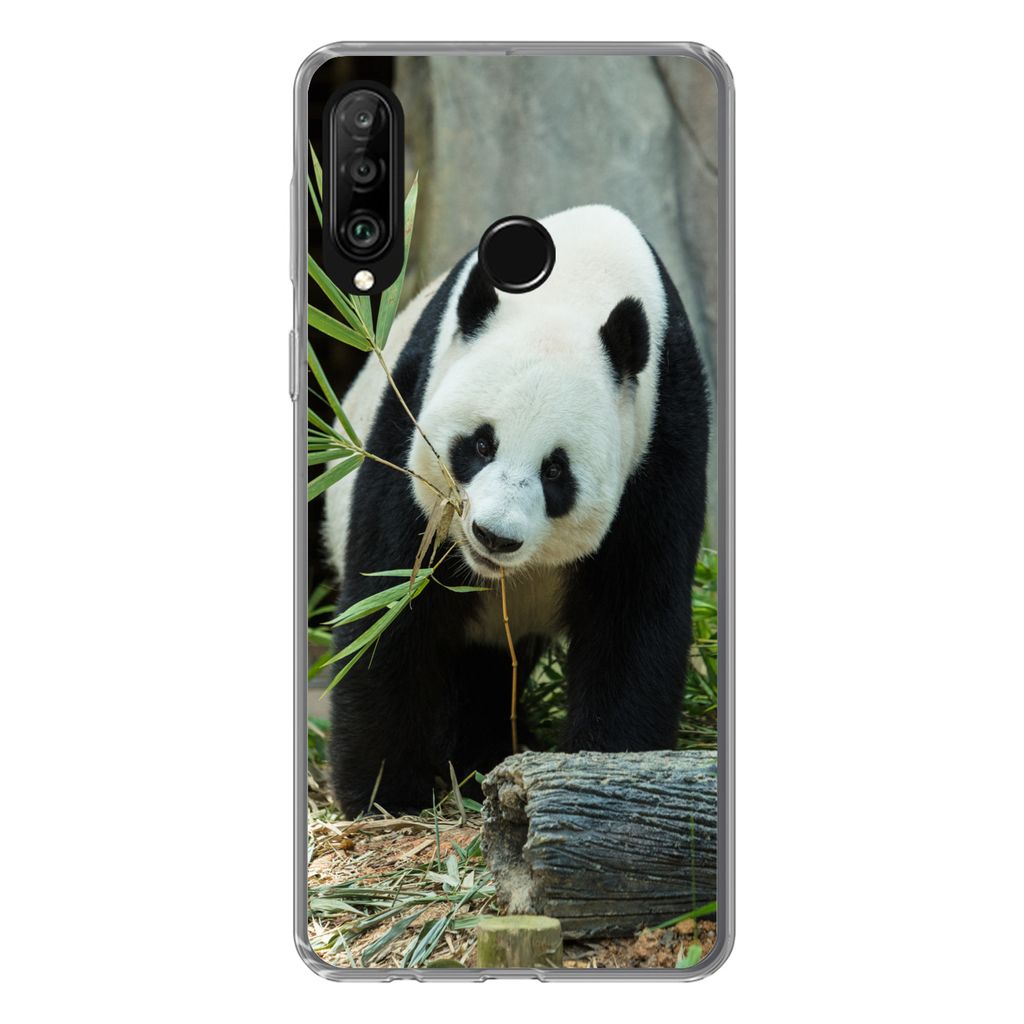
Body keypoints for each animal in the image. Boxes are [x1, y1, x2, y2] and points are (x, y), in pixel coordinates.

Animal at [322, 205, 709, 818]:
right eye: (481, 444)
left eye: (556, 471)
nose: (493, 536)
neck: (570, 285)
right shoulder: (412, 410)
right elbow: (392, 605)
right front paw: (385, 794)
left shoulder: (662, 438)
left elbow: (633, 615)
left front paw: (607, 770)